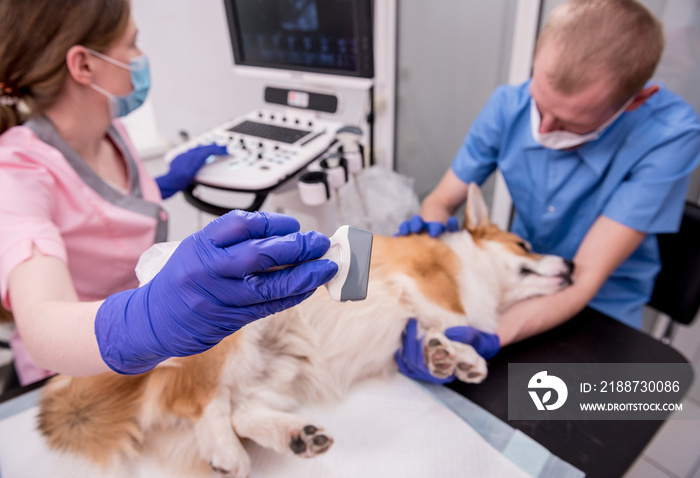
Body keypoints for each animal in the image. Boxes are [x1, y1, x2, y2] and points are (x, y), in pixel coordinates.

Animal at [35, 184, 576, 478]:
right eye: (524, 244)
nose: (573, 264)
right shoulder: (425, 283)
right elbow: (448, 316)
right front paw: (458, 348)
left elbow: (433, 336)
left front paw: (451, 359)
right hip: (232, 332)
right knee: (203, 404)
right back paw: (226, 452)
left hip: (284, 365)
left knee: (240, 409)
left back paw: (295, 435)